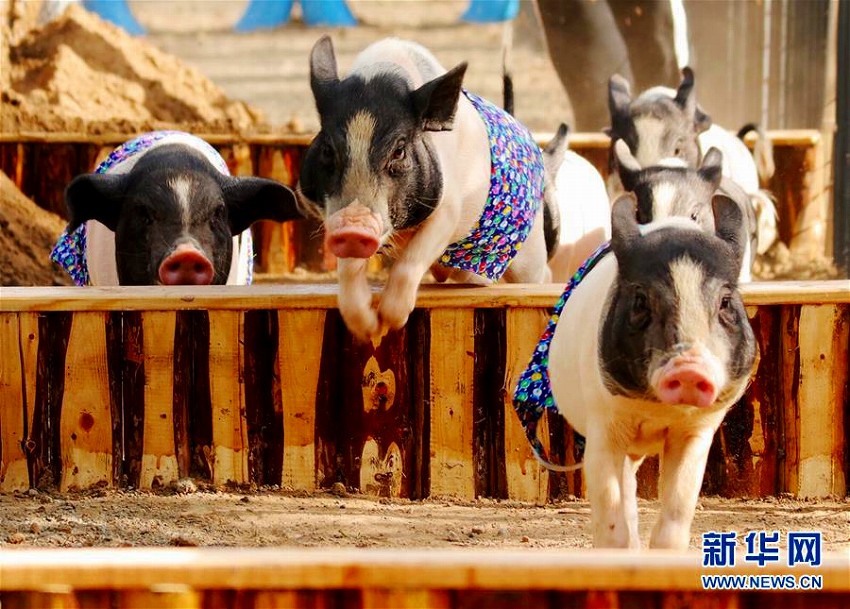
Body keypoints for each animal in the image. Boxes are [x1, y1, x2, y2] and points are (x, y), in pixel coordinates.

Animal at [298, 36, 548, 342]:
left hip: (530, 251)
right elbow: (349, 268)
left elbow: (411, 260)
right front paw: (369, 329)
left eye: (399, 151)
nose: (354, 228)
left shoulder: (449, 210)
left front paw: (390, 322)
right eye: (326, 149)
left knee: (541, 274)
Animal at [510, 194, 756, 548]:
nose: (689, 368)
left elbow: (676, 514)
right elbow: (612, 521)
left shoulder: (699, 428)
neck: (656, 410)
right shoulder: (602, 423)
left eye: (725, 302)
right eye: (640, 301)